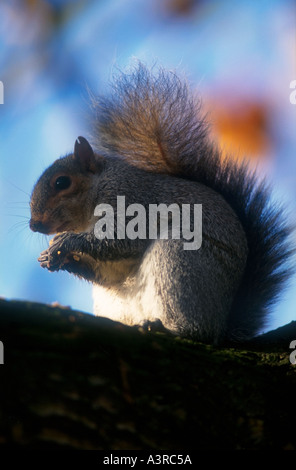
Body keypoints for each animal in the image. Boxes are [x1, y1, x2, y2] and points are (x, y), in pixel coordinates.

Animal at [28, 63, 292, 342]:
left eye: (61, 182)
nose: (34, 224)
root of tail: (222, 328)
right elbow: (109, 271)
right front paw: (55, 257)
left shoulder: (131, 200)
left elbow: (121, 240)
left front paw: (67, 242)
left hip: (181, 261)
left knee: (197, 329)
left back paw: (169, 327)